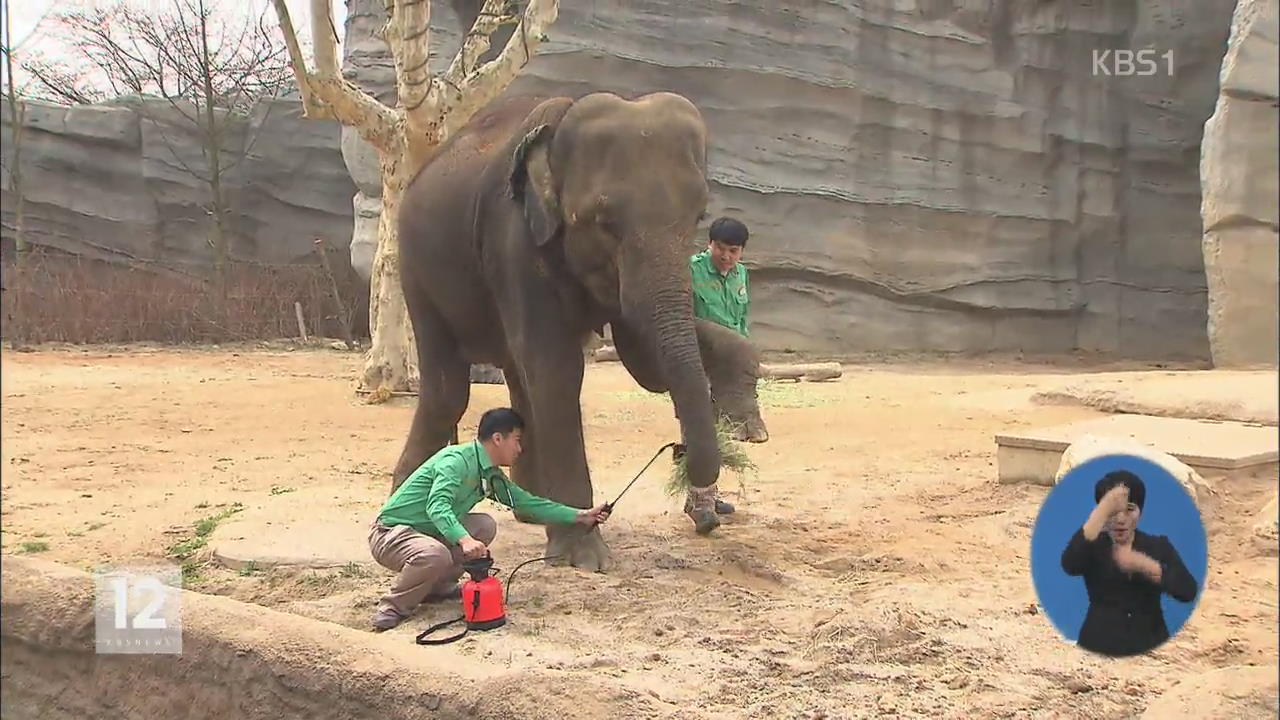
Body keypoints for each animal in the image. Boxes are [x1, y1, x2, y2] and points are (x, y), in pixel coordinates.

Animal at [394, 89, 742, 566]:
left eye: (698, 215)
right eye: (604, 222)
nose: (679, 450)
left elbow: (643, 362)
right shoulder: (514, 238)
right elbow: (558, 367)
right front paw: (586, 557)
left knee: (518, 377)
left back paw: (529, 513)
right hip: (415, 267)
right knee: (448, 388)